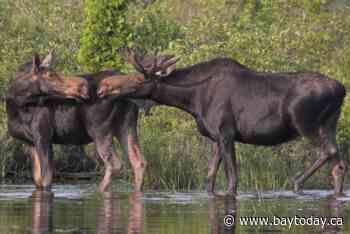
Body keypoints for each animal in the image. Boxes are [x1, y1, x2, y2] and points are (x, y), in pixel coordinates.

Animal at [6, 51, 147, 192]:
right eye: (50, 75)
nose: (82, 86)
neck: (16, 106)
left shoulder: (43, 137)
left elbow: (46, 179)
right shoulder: (30, 143)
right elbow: (38, 180)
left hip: (99, 129)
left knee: (115, 163)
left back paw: (99, 190)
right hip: (126, 126)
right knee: (139, 161)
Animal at [98, 49, 348, 197]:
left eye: (139, 79)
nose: (103, 88)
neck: (192, 100)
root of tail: (342, 89)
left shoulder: (226, 133)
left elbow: (232, 179)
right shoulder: (215, 138)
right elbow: (210, 178)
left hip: (305, 124)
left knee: (330, 152)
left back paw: (297, 183)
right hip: (330, 124)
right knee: (338, 163)